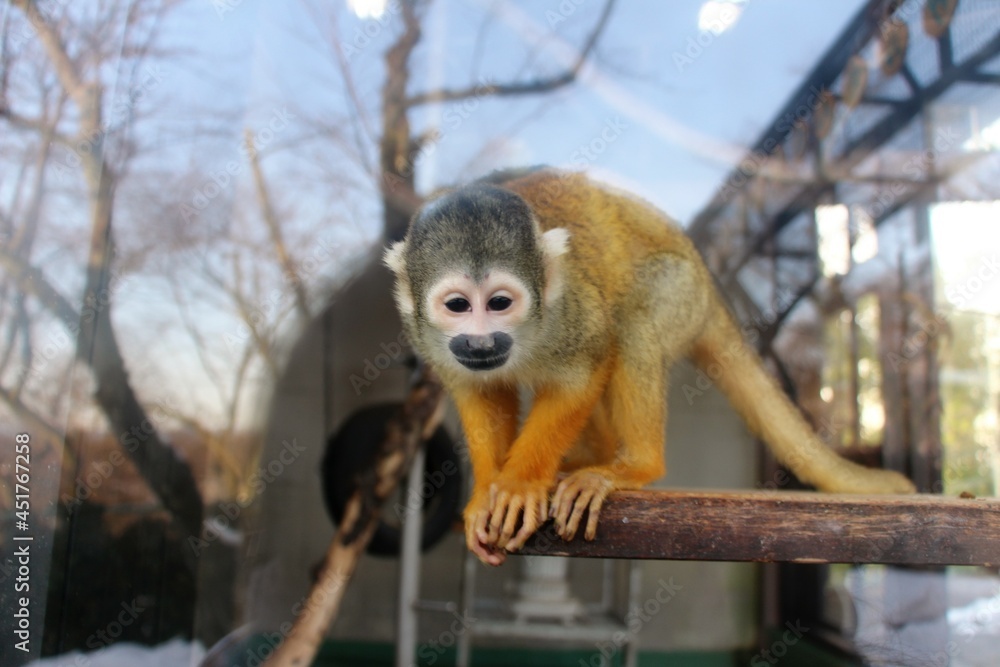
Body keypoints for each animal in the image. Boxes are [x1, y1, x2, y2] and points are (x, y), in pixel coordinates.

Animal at [384, 167, 916, 566]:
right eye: (458, 305)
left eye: (498, 303)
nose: (481, 339)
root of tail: (709, 284)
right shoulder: (430, 341)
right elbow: (479, 393)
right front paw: (485, 495)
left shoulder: (572, 311)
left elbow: (585, 370)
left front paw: (518, 485)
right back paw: (591, 456)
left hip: (680, 292)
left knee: (633, 319)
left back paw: (632, 465)